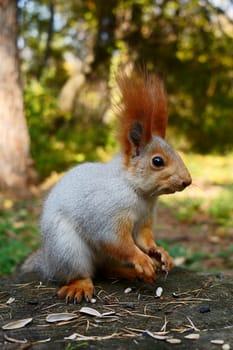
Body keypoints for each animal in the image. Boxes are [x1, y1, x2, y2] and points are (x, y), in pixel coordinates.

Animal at [26, 69, 191, 302]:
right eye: (157, 161)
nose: (187, 180)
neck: (139, 193)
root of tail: (49, 264)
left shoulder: (145, 219)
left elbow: (144, 238)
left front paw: (159, 253)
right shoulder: (107, 213)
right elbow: (116, 241)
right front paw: (142, 260)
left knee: (105, 268)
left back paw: (126, 271)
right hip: (67, 249)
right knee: (82, 273)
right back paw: (81, 285)